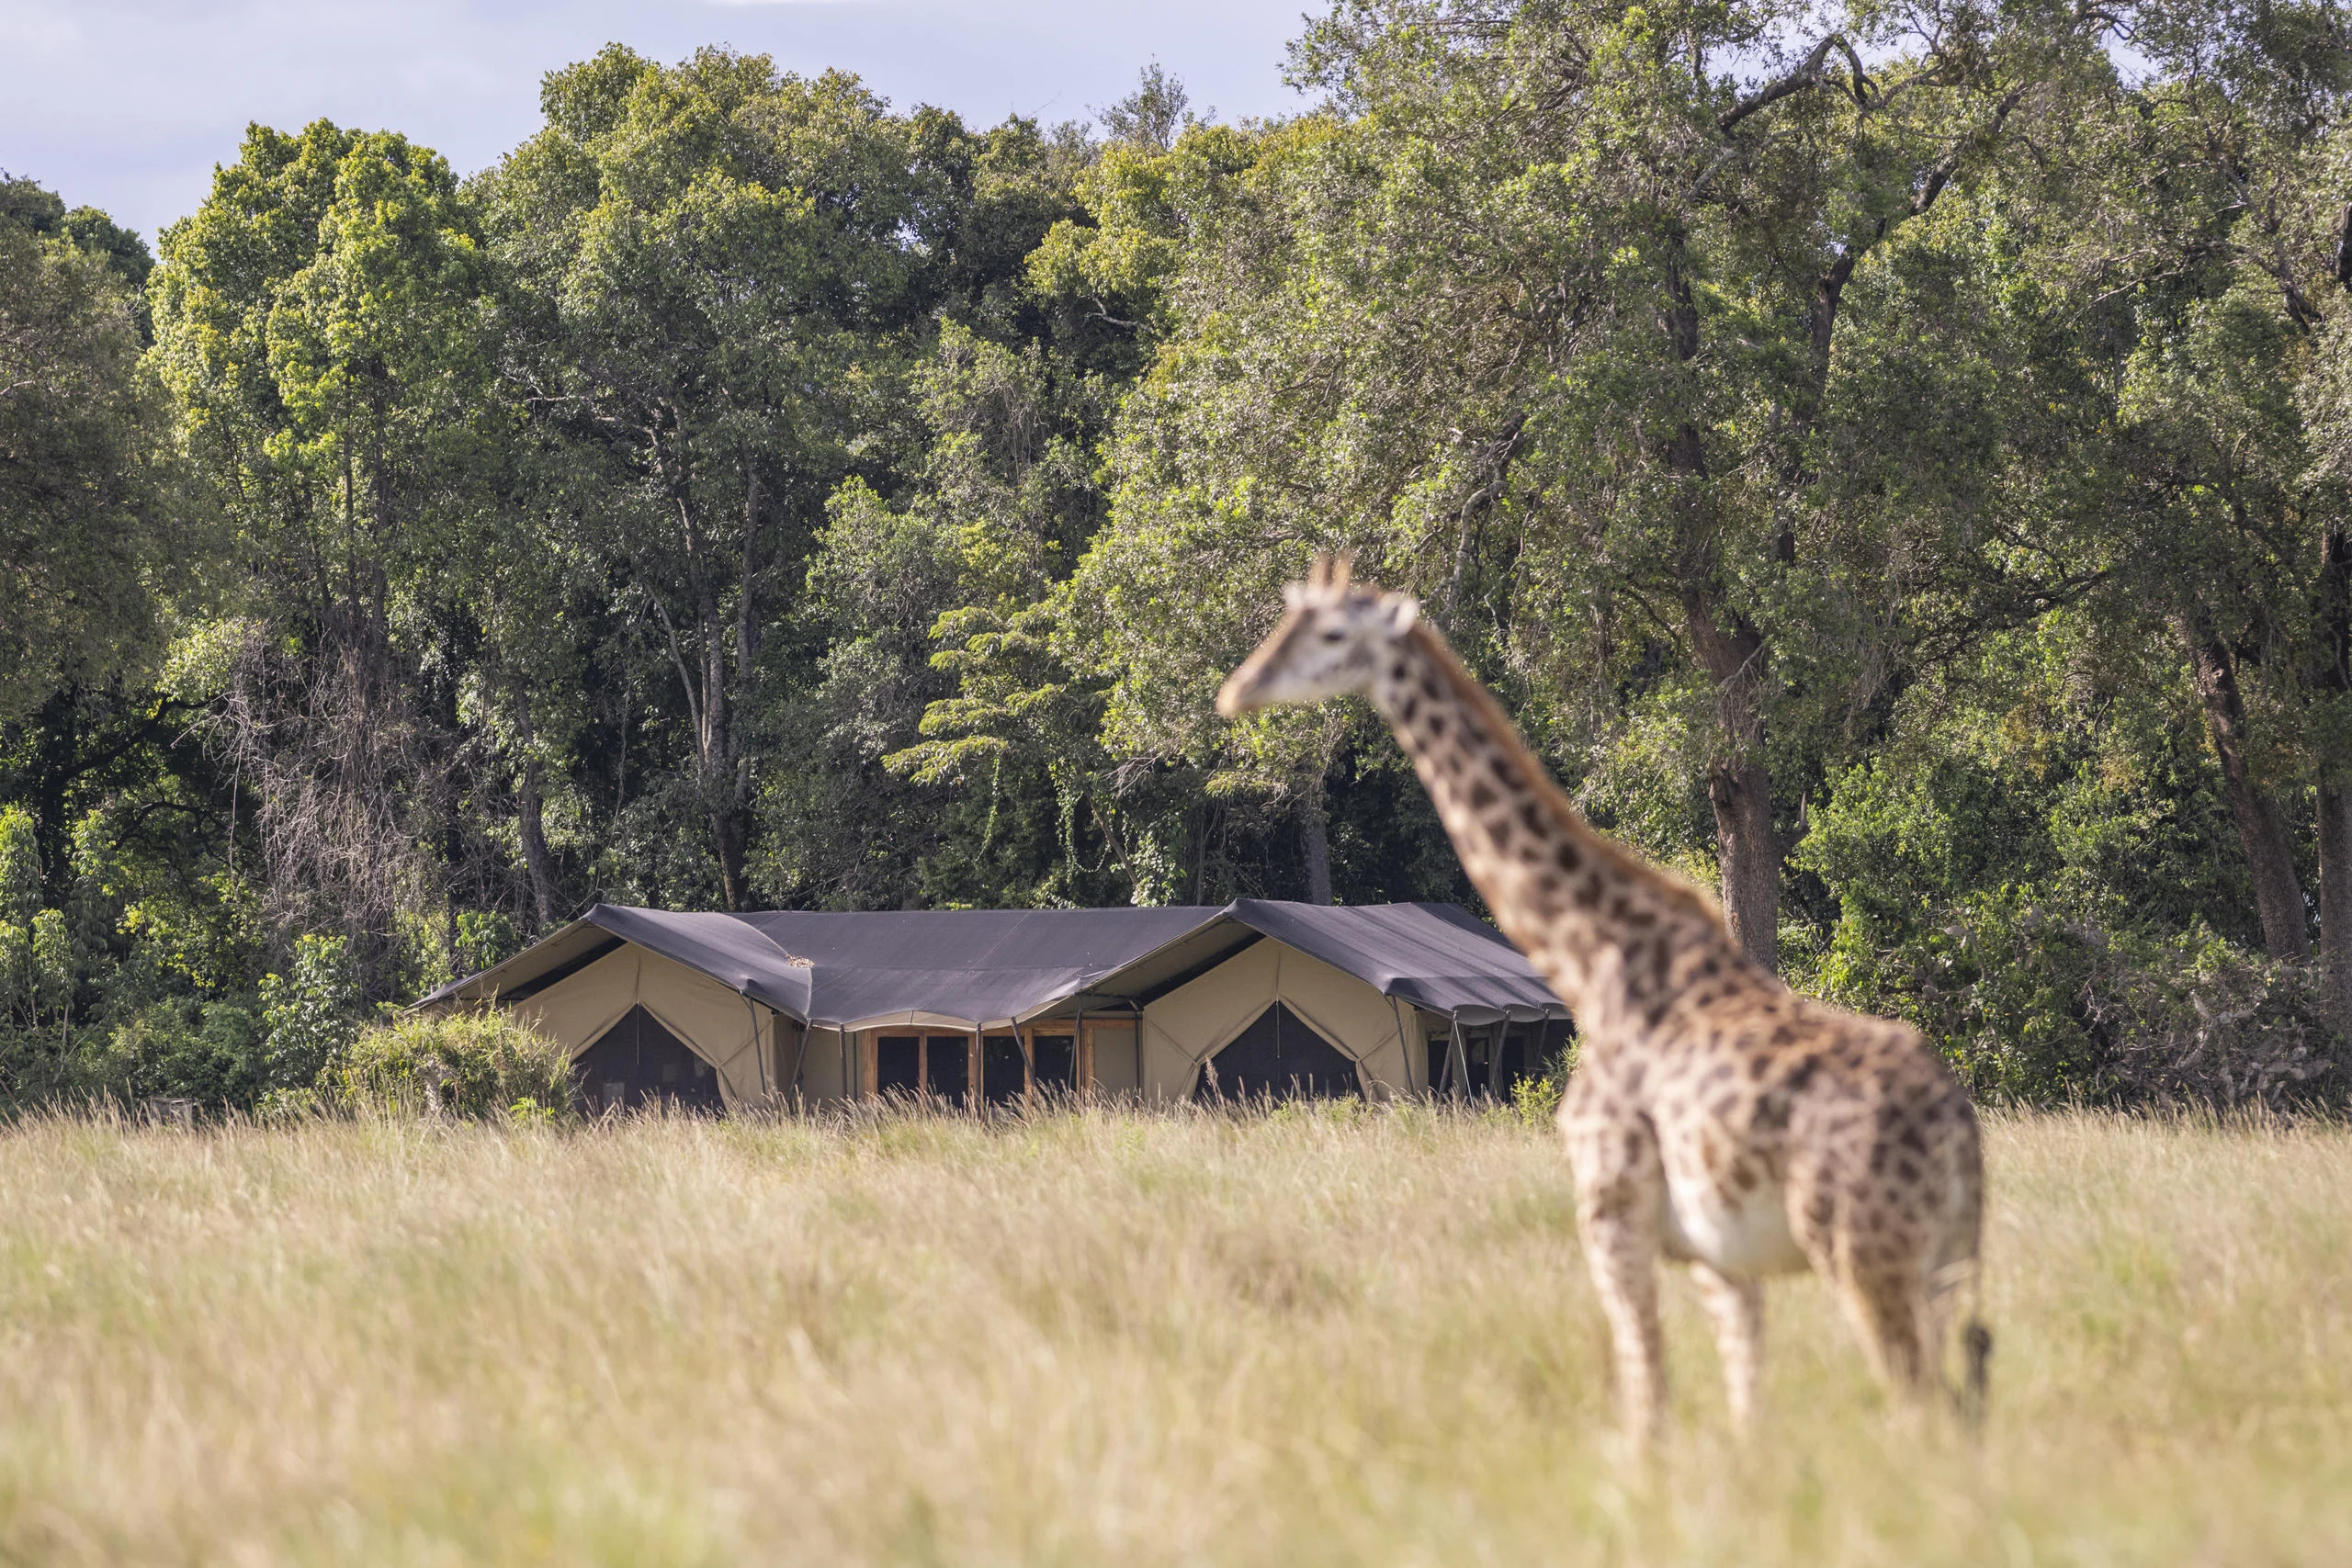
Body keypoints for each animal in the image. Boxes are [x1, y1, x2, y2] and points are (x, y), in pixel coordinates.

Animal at [1217, 557, 1988, 1445]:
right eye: (1284, 618)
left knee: (1920, 1406)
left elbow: (1647, 1405)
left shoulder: (1610, 1210)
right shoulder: (1718, 1255)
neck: (1591, 961)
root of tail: (1956, 1127)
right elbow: (1743, 1406)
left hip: (1863, 1250)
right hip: (1943, 1258)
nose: (1238, 691)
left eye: (1333, 632)